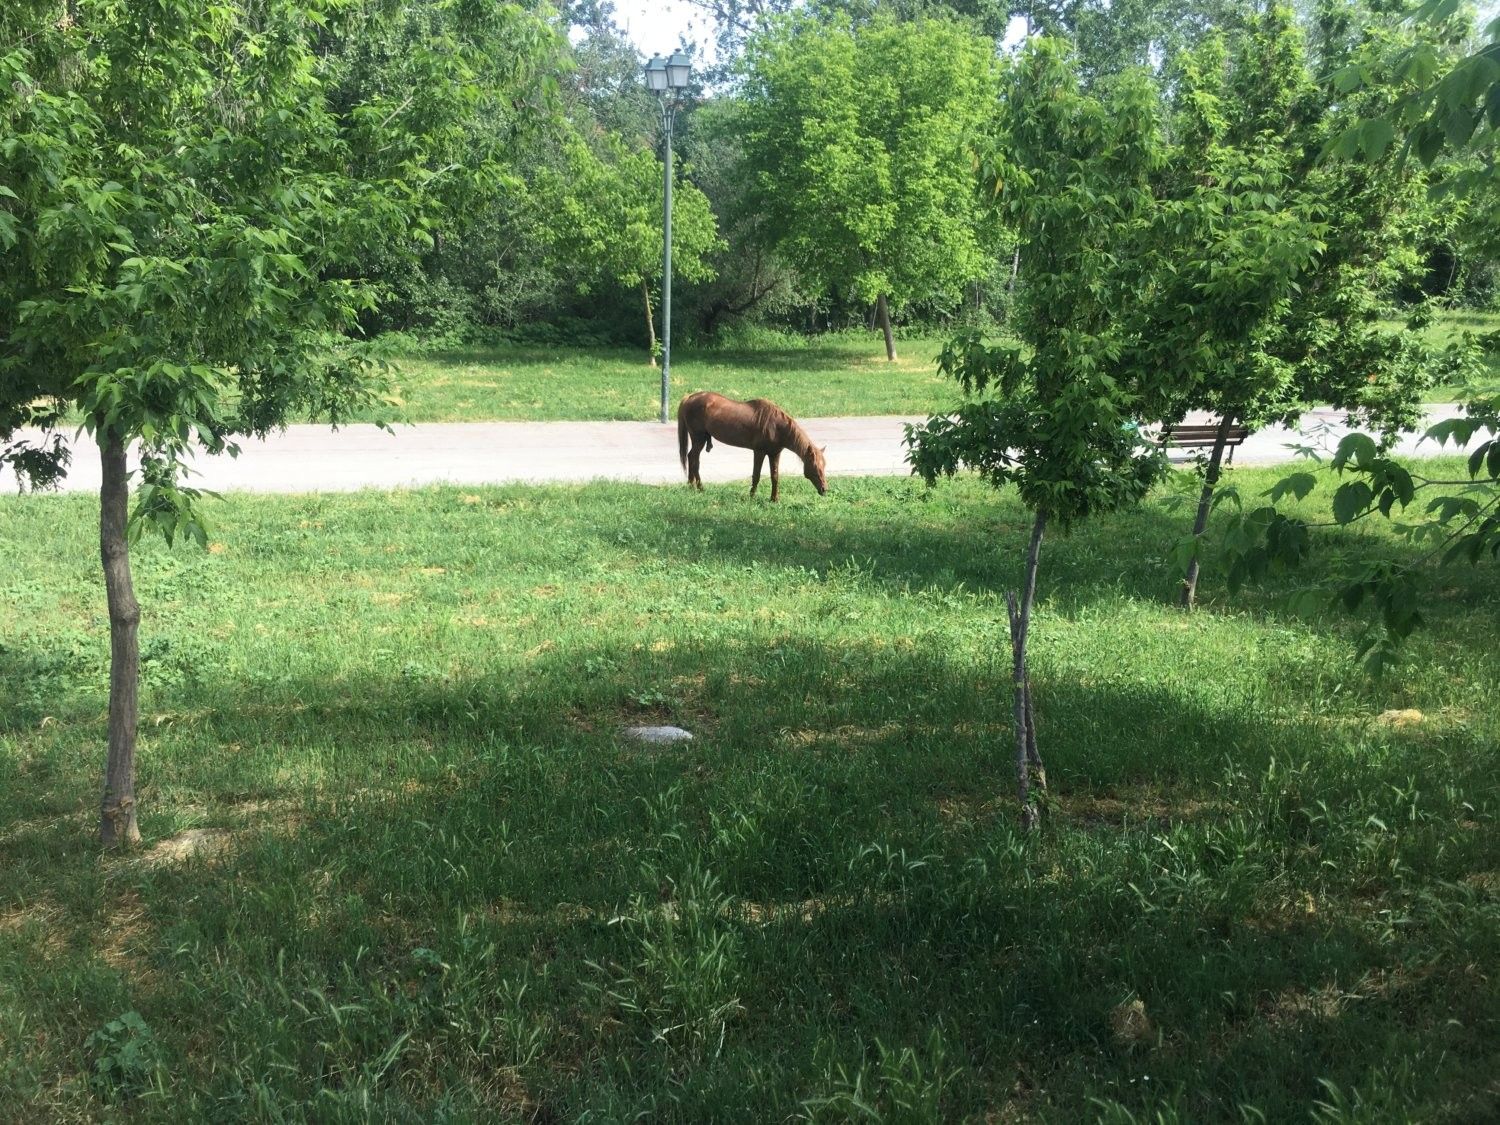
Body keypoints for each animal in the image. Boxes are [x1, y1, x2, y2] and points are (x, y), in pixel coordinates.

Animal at [675, 396, 828, 501]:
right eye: (815, 467)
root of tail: (689, 398)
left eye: (824, 466)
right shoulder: (759, 452)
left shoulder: (774, 454)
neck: (776, 426)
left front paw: (774, 499)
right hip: (698, 439)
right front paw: (752, 496)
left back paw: (692, 486)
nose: (824, 489)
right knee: (694, 459)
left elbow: (775, 476)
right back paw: (699, 487)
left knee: (692, 457)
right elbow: (756, 475)